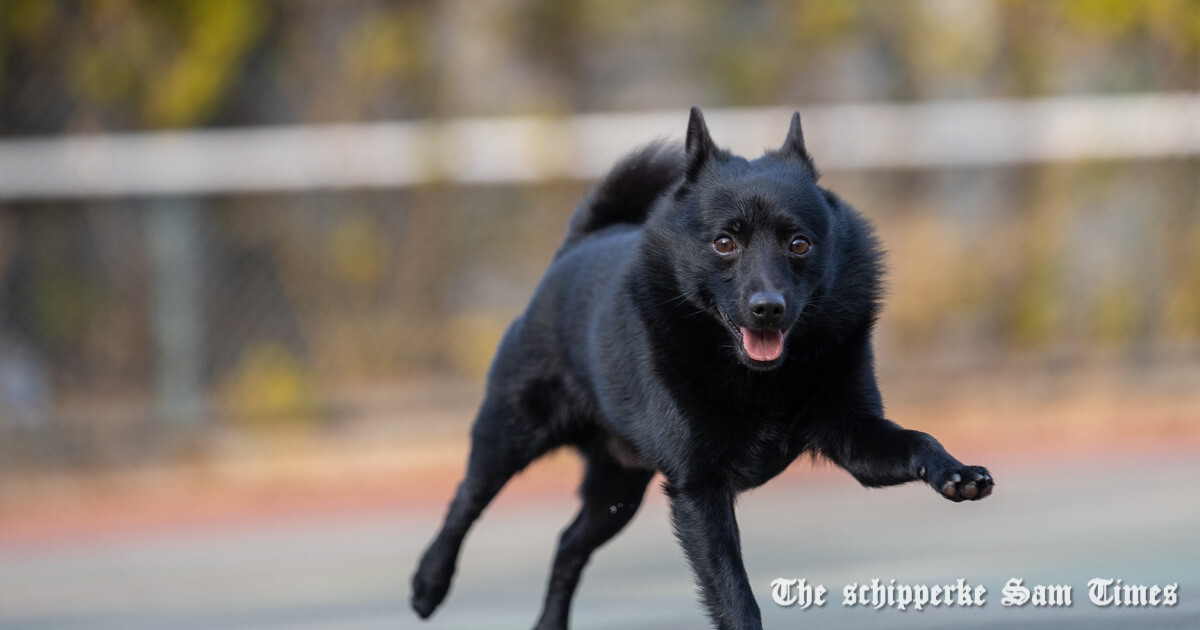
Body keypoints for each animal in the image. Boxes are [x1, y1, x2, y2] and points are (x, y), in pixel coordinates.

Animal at [412, 108, 993, 628]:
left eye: (799, 243)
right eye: (724, 242)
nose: (767, 308)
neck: (762, 380)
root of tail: (578, 245)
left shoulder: (854, 437)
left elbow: (917, 440)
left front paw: (956, 473)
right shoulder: (699, 490)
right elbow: (734, 595)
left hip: (618, 488)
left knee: (569, 544)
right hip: (511, 434)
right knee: (465, 502)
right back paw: (427, 584)